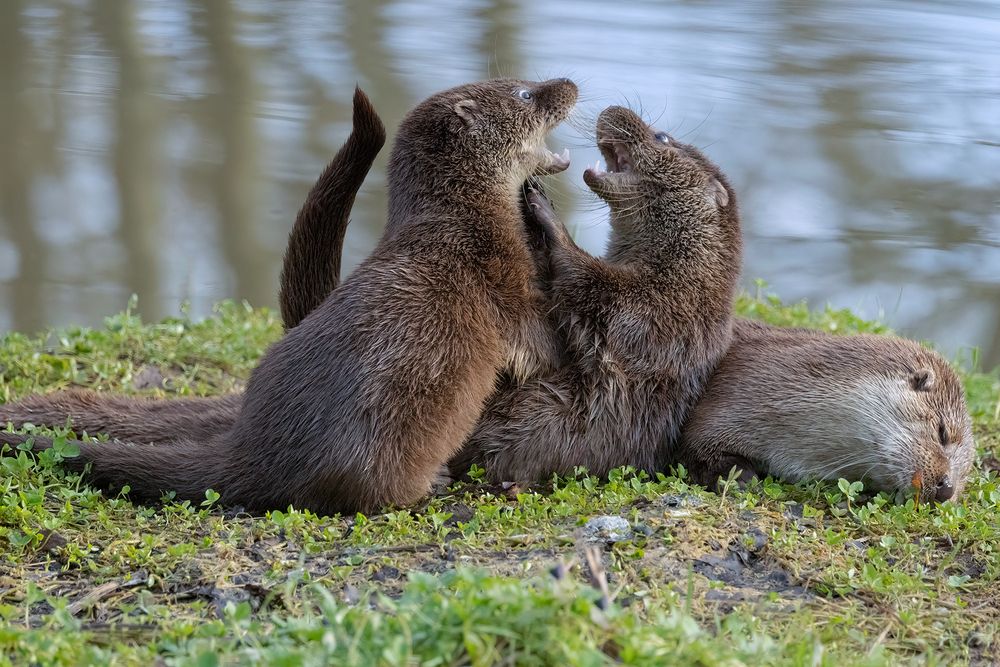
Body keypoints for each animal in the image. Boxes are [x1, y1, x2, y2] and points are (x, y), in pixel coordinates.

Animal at [0, 77, 579, 516]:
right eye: (527, 93)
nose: (569, 83)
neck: (464, 223)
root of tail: (254, 450)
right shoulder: (507, 287)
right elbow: (538, 346)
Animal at [676, 319, 975, 502]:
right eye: (943, 433)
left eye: (963, 475)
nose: (947, 489)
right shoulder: (728, 399)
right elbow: (695, 447)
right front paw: (739, 478)